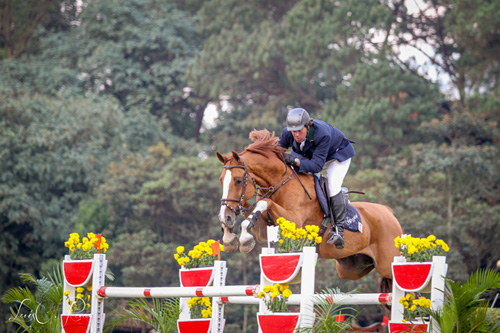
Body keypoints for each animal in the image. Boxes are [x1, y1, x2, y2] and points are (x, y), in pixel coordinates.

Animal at [217, 128, 404, 286]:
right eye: (221, 180)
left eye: (238, 180)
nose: (226, 216)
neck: (280, 183)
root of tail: (389, 212)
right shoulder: (264, 229)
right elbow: (251, 211)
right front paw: (230, 237)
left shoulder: (294, 222)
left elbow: (264, 203)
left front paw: (242, 238)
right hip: (351, 268)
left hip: (387, 262)